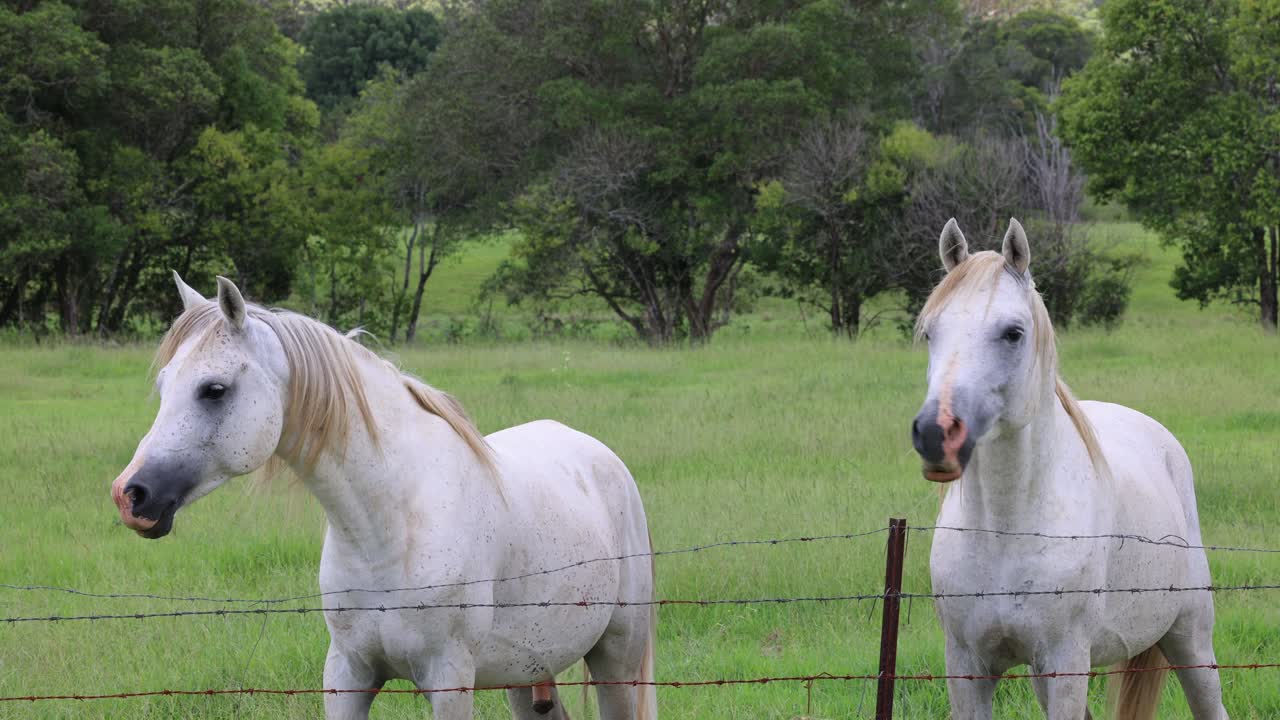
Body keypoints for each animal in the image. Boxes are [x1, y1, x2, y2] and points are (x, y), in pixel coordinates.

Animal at [109, 273, 657, 720]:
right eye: (164, 384)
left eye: (214, 389)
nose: (130, 495)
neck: (390, 527)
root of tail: (600, 455)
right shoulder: (347, 675)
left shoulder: (449, 680)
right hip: (526, 674)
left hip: (617, 658)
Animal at [909, 218, 1227, 719]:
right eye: (930, 333)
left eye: (1013, 333)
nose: (936, 433)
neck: (1006, 532)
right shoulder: (967, 665)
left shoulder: (1066, 662)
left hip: (1191, 640)